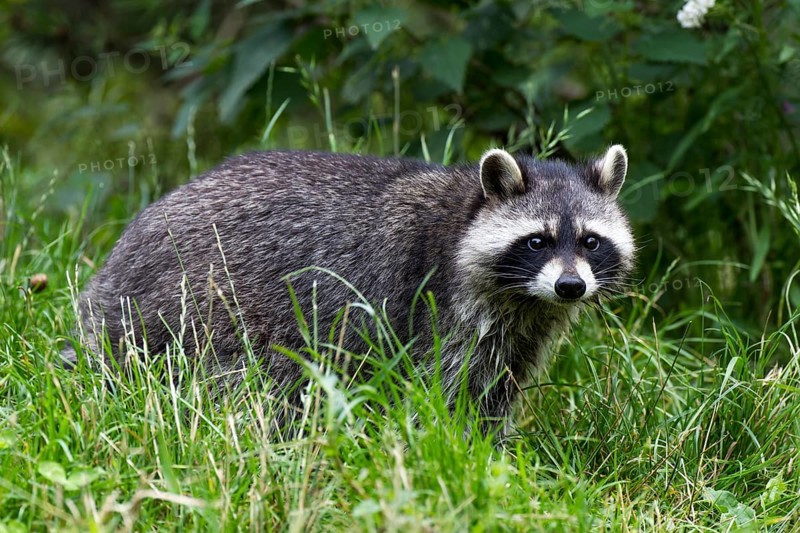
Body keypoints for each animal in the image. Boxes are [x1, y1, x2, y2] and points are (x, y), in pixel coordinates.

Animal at [64, 146, 635, 424]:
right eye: (537, 241)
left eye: (590, 241)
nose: (569, 287)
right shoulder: (438, 302)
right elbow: (442, 385)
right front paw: (451, 441)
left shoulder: (521, 329)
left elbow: (496, 387)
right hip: (197, 300)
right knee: (252, 376)